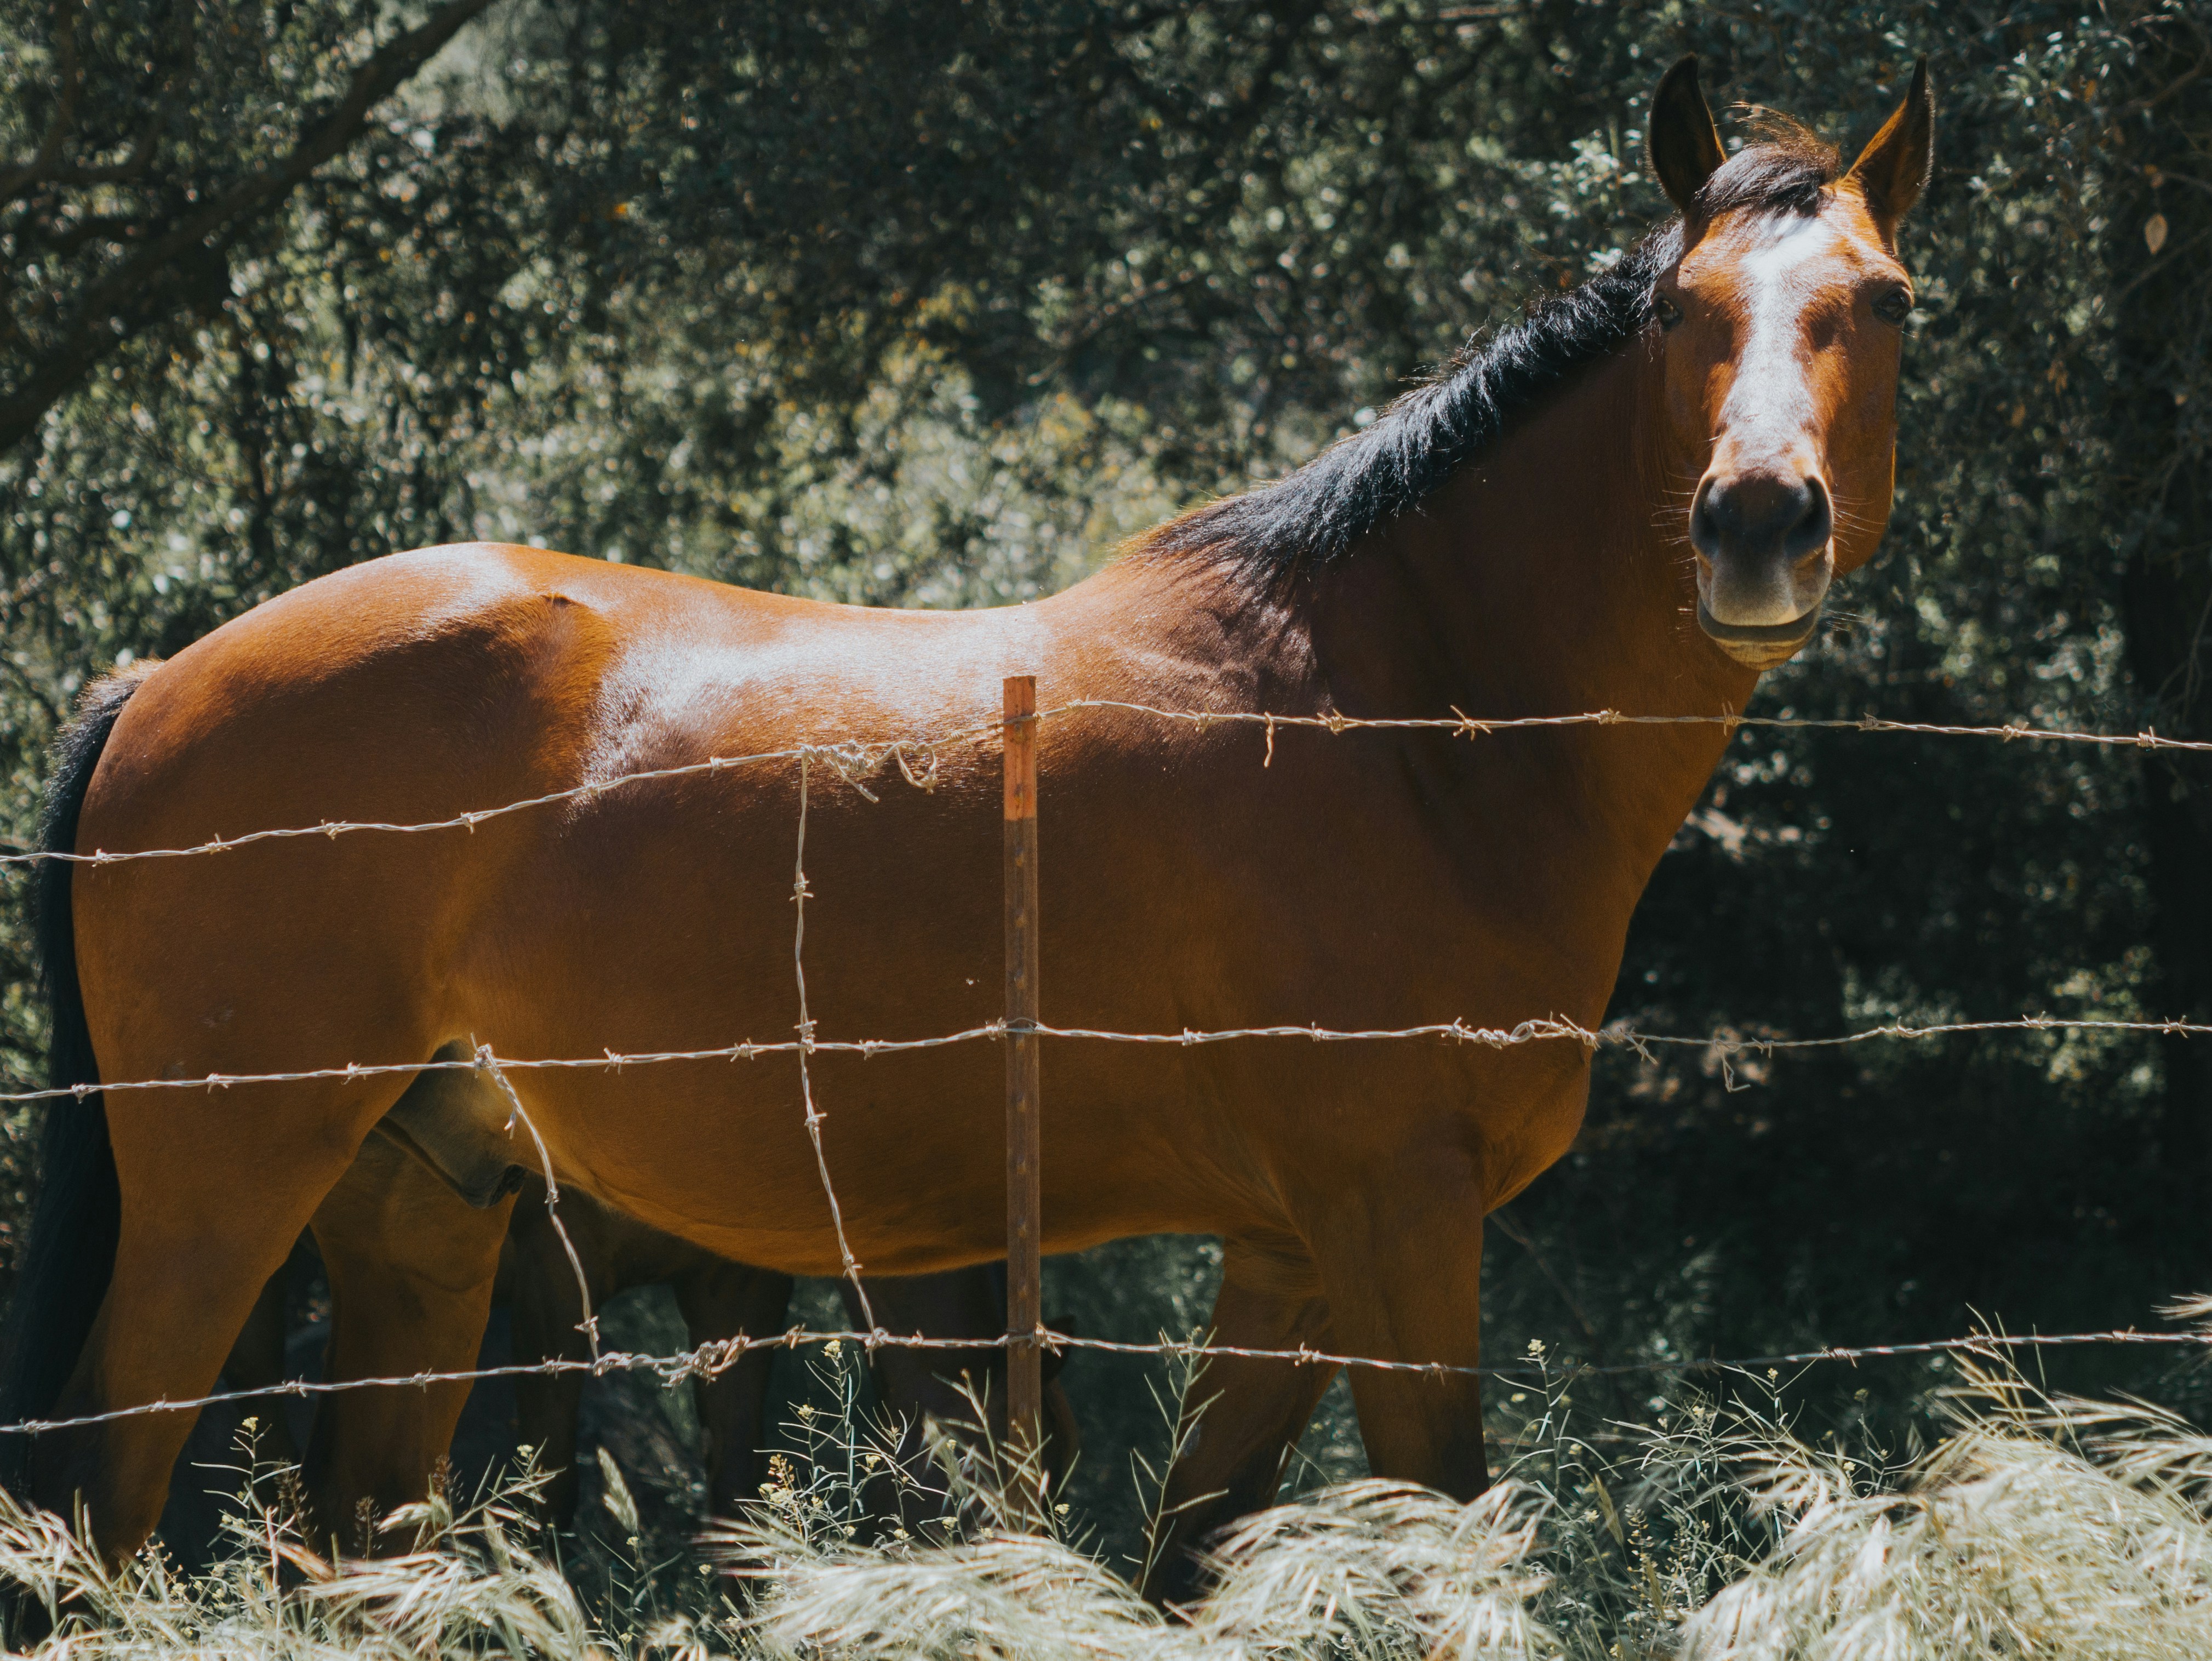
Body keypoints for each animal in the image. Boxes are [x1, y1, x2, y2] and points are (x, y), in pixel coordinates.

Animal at [0, 54, 1931, 1598]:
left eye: (1889, 299)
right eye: (1676, 310)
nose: (1757, 522)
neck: (1399, 714)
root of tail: (160, 673)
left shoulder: (1290, 1250)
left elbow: (1187, 1554)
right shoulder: (1391, 1217)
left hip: (425, 1211)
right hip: (228, 1189)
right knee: (107, 1488)